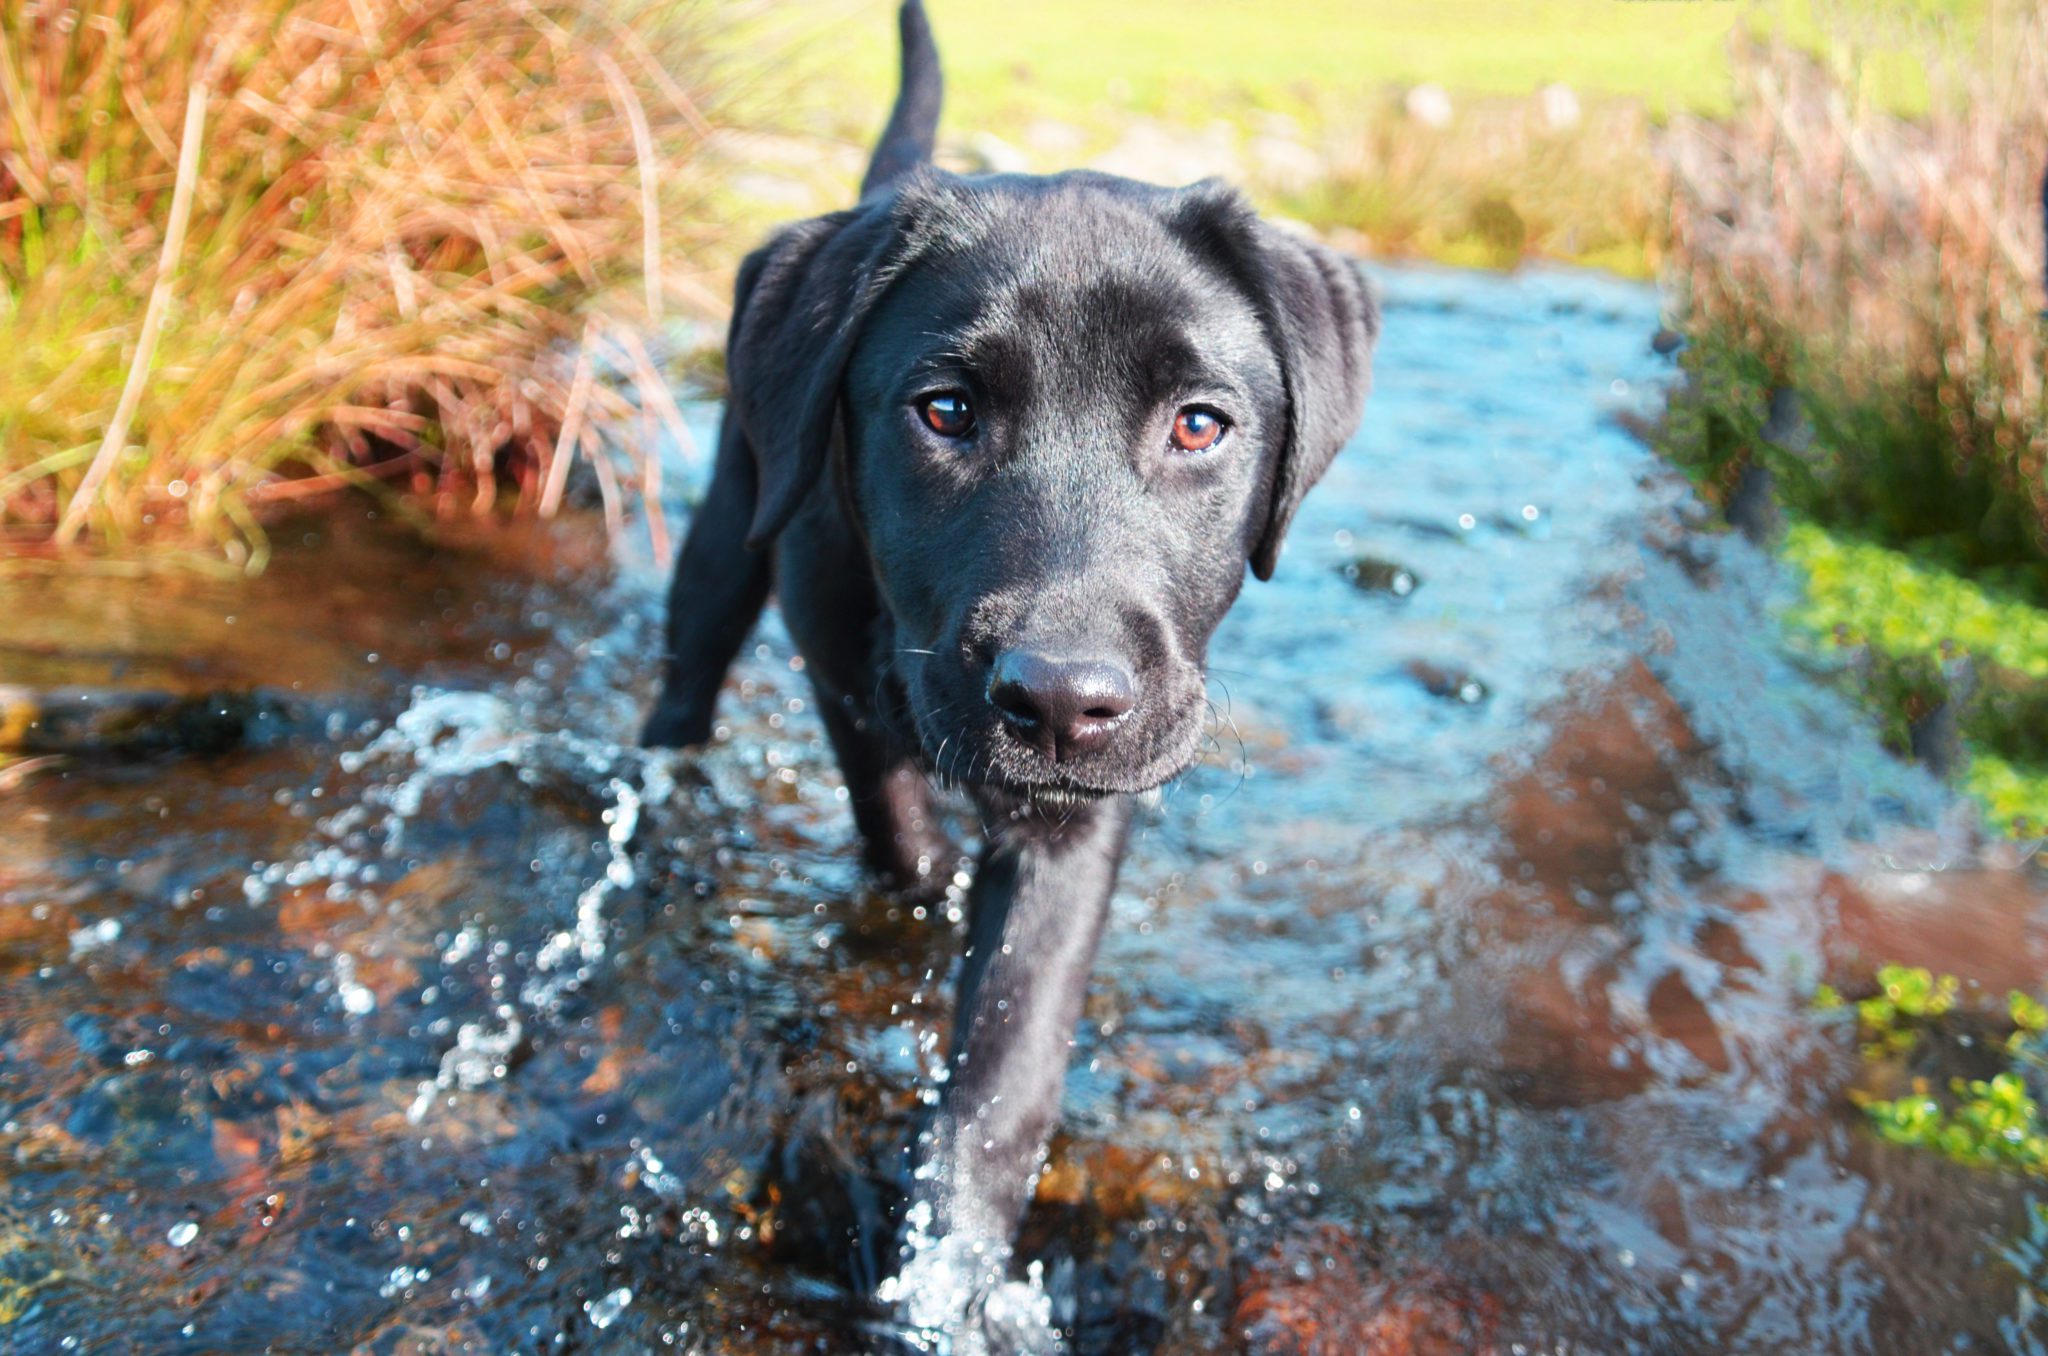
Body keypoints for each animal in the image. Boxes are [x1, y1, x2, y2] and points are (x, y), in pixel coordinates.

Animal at [638, 0, 1376, 1343]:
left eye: (1199, 424)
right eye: (942, 410)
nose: (1059, 702)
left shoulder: (1085, 812)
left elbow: (1005, 1059)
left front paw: (955, 1272)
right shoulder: (843, 664)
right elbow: (894, 821)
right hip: (725, 539)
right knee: (686, 679)